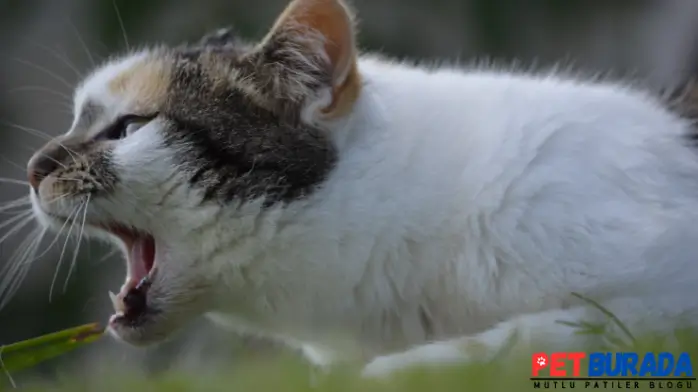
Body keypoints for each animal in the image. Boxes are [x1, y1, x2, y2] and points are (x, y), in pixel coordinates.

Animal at [23, 0, 696, 378]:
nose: (32, 167)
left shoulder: (664, 298)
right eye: (78, 118)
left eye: (129, 128)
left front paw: (398, 369)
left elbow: (542, 331)